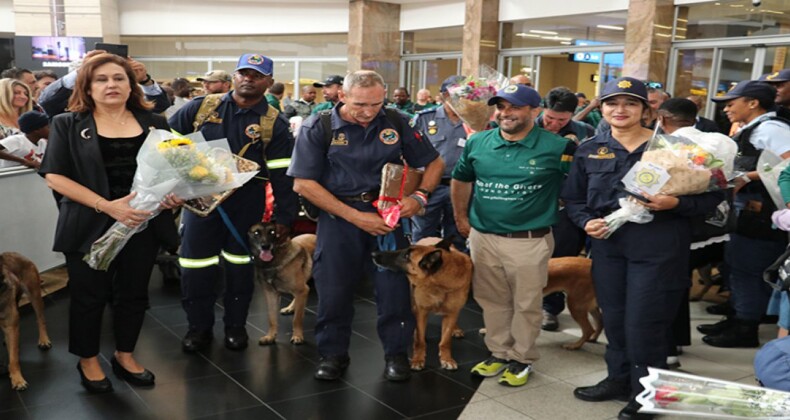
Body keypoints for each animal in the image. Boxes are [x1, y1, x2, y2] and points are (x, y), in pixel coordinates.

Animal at [0, 253, 52, 390]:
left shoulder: (11, 327)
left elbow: (13, 359)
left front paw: (17, 379)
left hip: (34, 295)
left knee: (40, 319)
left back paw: (44, 340)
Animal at [372, 236, 470, 370]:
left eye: (406, 256)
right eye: (405, 251)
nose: (373, 254)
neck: (439, 281)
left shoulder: (451, 313)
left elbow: (445, 341)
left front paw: (446, 359)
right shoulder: (420, 311)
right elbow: (419, 340)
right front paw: (418, 359)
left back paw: (456, 329)